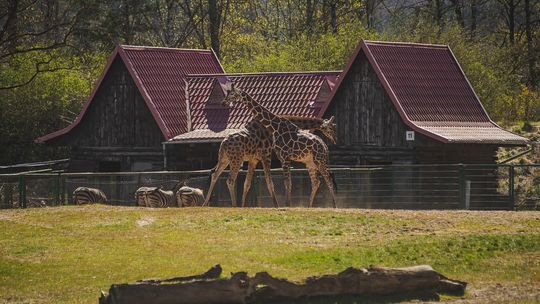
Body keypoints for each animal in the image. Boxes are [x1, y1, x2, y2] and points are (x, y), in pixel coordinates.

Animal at [205, 115, 336, 208]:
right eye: (330, 128)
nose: (334, 140)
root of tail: (223, 143)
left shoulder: (254, 159)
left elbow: (247, 183)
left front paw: (243, 205)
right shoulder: (266, 155)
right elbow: (269, 181)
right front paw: (276, 205)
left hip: (225, 159)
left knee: (215, 174)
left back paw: (205, 203)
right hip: (236, 159)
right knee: (230, 180)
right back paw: (233, 205)